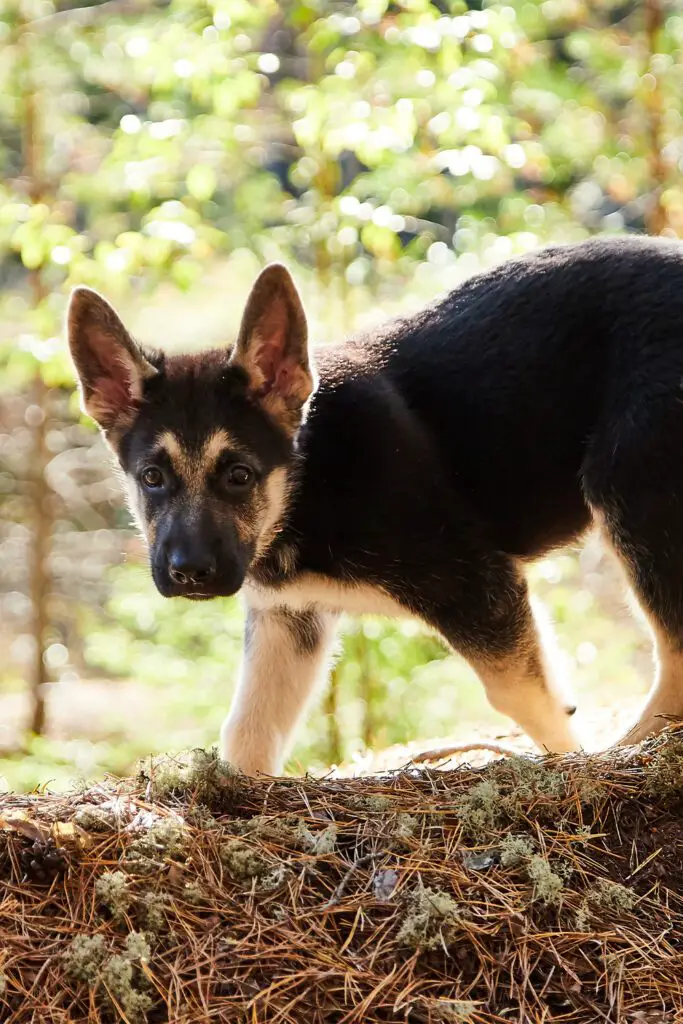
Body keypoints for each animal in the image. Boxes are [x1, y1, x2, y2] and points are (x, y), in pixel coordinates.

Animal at [66, 235, 683, 770]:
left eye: (239, 476)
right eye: (152, 478)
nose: (189, 573)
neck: (307, 482)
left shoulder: (477, 587)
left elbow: (525, 697)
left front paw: (573, 764)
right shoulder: (288, 619)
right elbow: (248, 731)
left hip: (631, 489)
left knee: (673, 655)